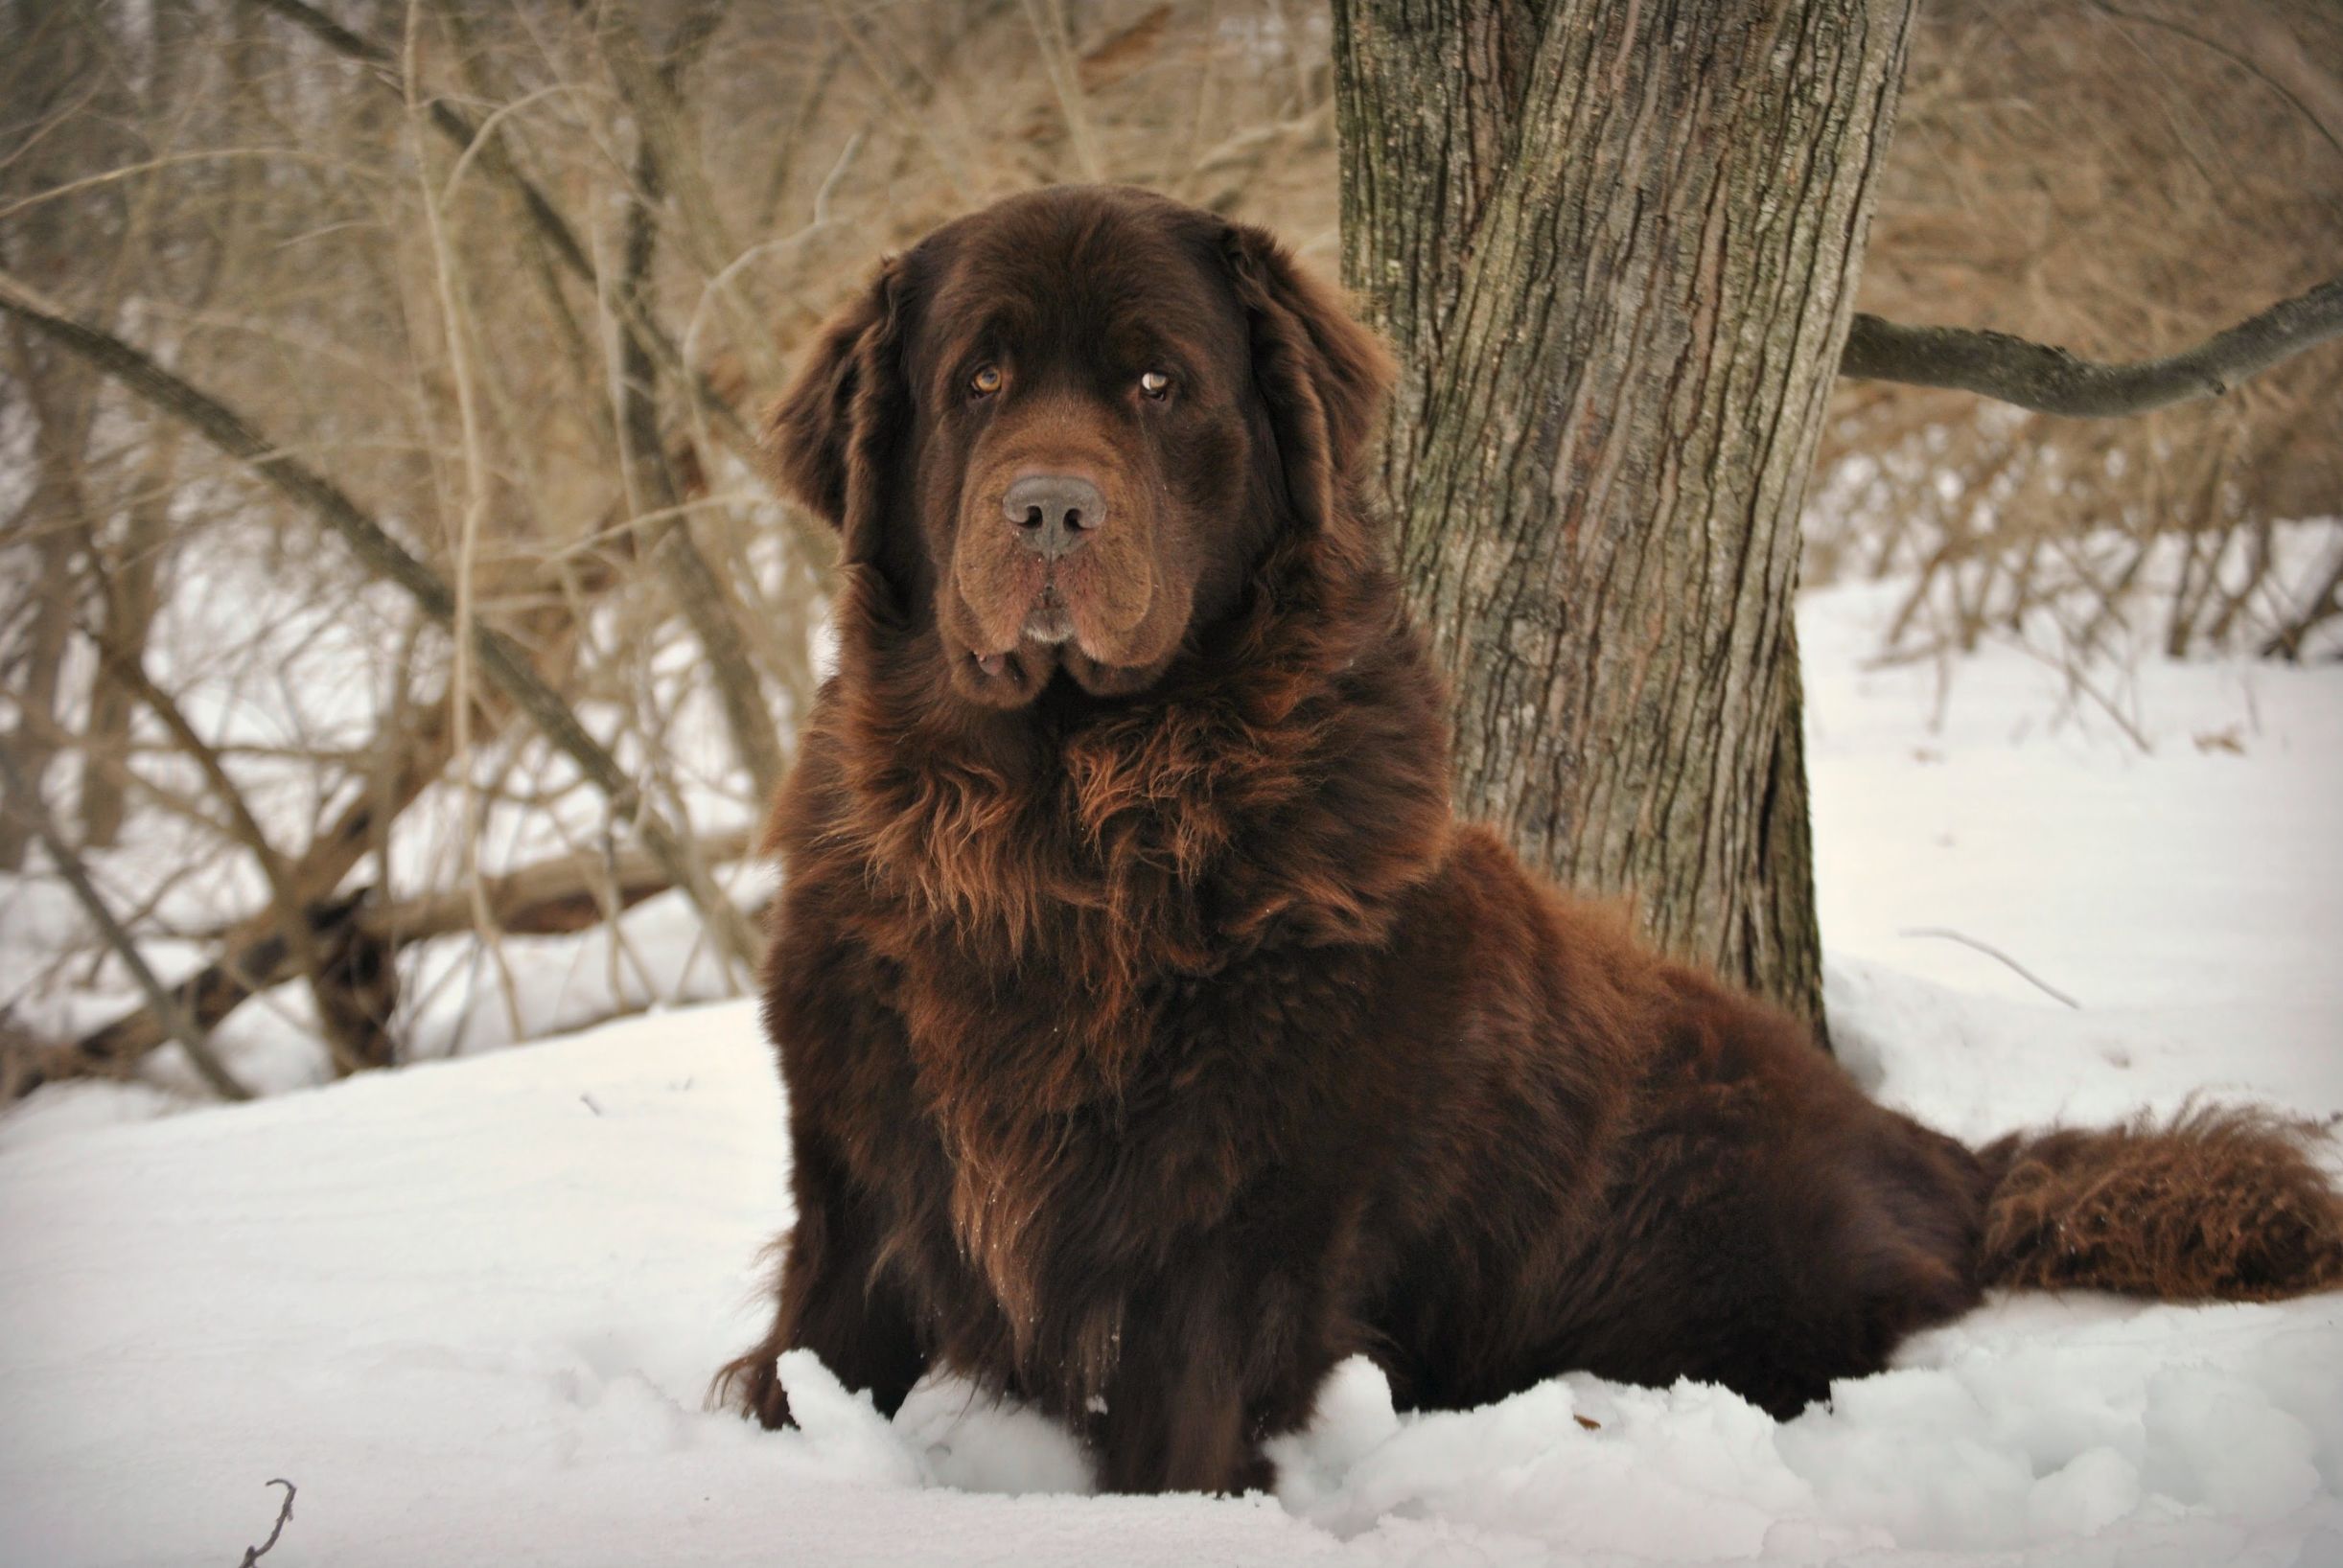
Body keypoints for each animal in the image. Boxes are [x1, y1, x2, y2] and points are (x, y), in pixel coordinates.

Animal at [716, 183, 2343, 1490]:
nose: (1050, 509)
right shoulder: (855, 1173)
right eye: (978, 379)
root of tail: (1928, 1147)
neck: (1061, 823)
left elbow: (1181, 1434)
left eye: (1158, 381)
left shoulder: (1241, 1233)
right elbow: (804, 1359)